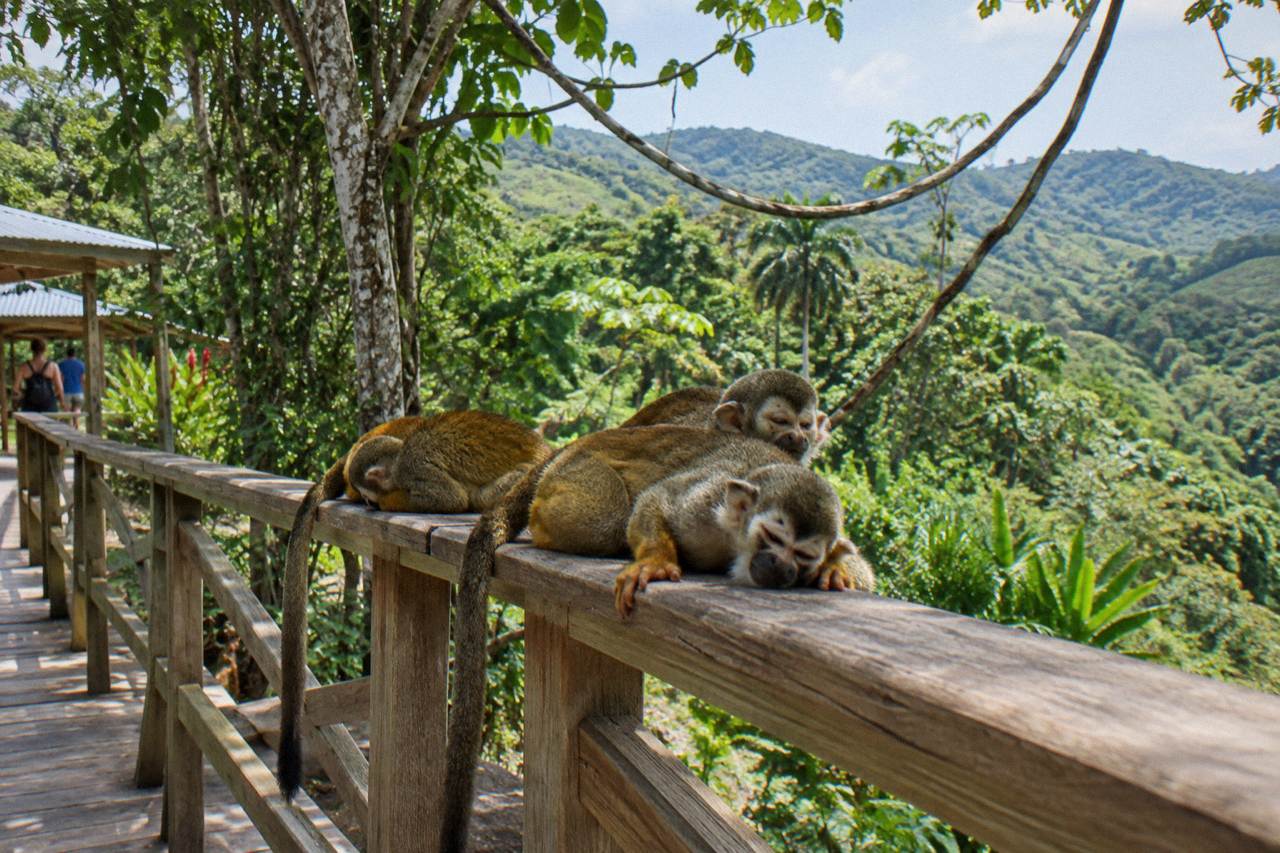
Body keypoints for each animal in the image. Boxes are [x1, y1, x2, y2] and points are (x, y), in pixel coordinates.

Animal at [277, 411, 550, 802]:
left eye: (372, 498)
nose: (369, 504)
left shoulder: (414, 467)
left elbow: (448, 498)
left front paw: (393, 502)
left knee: (480, 494)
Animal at [440, 424, 873, 850]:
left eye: (803, 556)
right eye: (773, 537)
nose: (781, 568)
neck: (735, 542)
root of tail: (574, 446)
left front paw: (837, 570)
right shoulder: (707, 502)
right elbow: (659, 500)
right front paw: (656, 560)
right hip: (578, 468)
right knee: (604, 521)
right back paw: (548, 526)